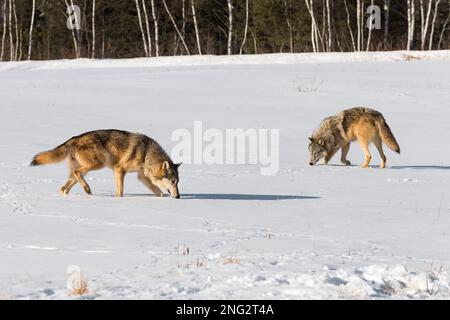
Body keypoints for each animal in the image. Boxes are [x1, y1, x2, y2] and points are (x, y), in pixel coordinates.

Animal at [29, 129, 182, 198]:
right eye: (173, 181)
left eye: (177, 182)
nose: (179, 196)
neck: (146, 154)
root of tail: (73, 139)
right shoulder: (119, 169)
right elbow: (120, 192)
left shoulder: (141, 176)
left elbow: (158, 192)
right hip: (98, 164)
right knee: (76, 173)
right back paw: (87, 190)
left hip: (86, 169)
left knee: (64, 187)